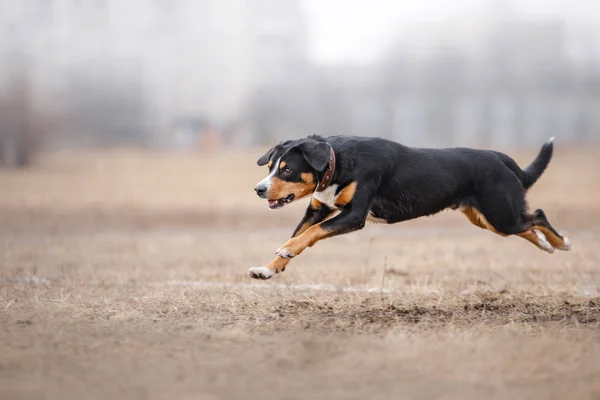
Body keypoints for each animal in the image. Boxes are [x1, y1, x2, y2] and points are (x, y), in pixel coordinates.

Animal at [248, 136, 572, 280]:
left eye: (287, 170)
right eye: (271, 166)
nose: (259, 189)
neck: (337, 164)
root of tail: (501, 158)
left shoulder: (353, 215)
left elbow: (309, 233)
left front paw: (287, 250)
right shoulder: (318, 208)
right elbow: (303, 231)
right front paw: (268, 268)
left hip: (499, 214)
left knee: (537, 216)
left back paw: (562, 243)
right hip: (489, 219)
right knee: (527, 225)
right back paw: (546, 245)